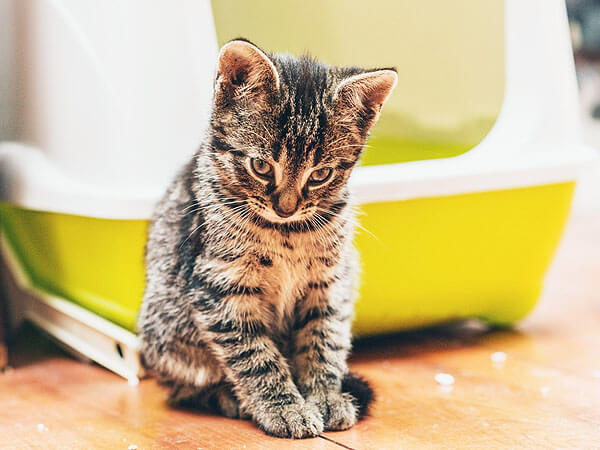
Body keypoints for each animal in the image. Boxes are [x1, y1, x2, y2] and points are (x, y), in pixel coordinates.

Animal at [138, 38, 396, 440]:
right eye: (261, 166)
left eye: (320, 174)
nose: (286, 207)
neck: (287, 233)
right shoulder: (220, 286)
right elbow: (255, 355)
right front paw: (283, 408)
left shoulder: (330, 284)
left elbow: (323, 340)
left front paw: (324, 397)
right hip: (164, 329)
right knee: (182, 387)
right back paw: (226, 397)